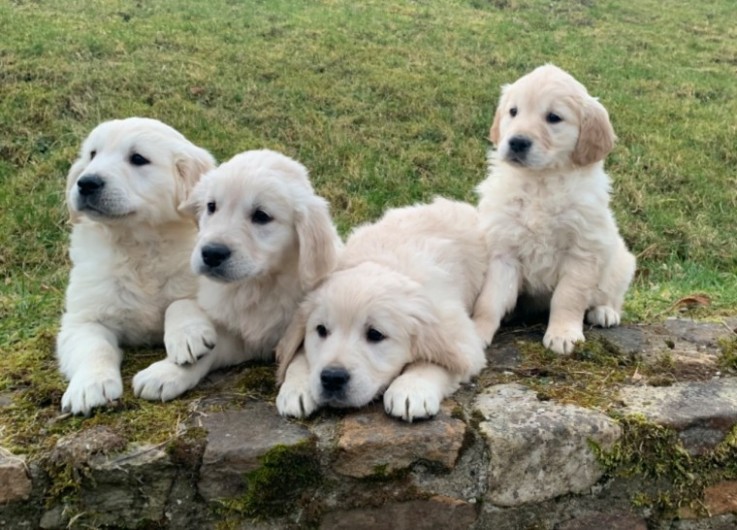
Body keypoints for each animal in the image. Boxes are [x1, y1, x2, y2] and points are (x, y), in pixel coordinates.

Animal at [56, 117, 216, 414]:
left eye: (138, 159)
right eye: (92, 155)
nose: (86, 182)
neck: (137, 245)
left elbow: (181, 301)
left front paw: (188, 335)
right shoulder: (82, 318)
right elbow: (93, 346)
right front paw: (90, 385)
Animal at [131, 146, 340, 398]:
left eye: (261, 216)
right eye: (211, 206)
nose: (211, 254)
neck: (258, 285)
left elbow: (302, 352)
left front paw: (299, 389)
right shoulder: (241, 340)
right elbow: (210, 352)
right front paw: (167, 372)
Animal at [274, 198, 486, 420]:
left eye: (375, 334)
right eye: (321, 330)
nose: (332, 377)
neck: (384, 263)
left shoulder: (463, 339)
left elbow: (438, 361)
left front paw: (411, 390)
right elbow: (297, 355)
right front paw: (296, 388)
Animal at [472, 64, 640, 352]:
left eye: (553, 117)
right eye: (513, 111)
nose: (517, 142)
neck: (541, 182)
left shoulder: (583, 250)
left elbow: (568, 297)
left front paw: (563, 334)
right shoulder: (503, 249)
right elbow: (489, 300)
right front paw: (475, 331)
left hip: (621, 263)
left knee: (611, 295)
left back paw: (605, 312)